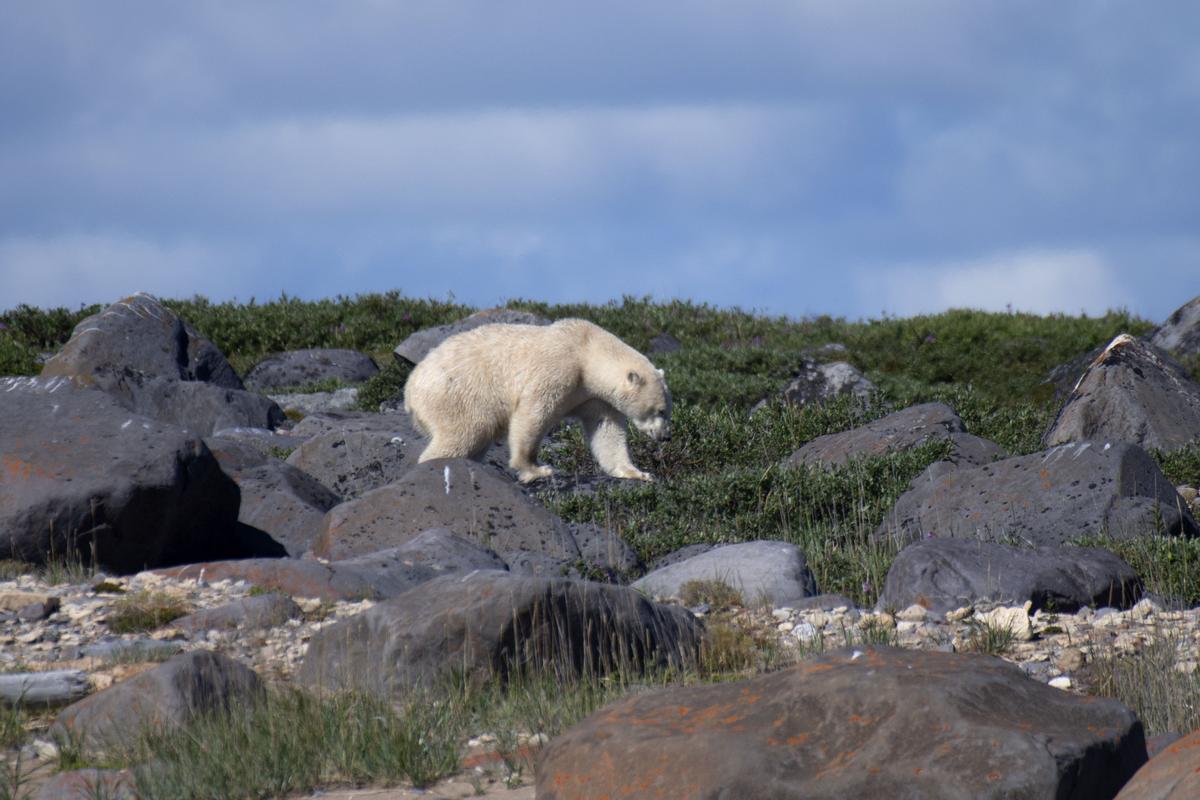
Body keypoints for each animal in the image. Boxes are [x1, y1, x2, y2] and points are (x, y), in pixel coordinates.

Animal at [405, 316, 672, 482]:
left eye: (667, 410)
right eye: (660, 410)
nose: (666, 436)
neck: (586, 350)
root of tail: (410, 390)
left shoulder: (594, 397)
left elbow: (607, 431)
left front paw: (636, 473)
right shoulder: (558, 368)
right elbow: (533, 414)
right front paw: (536, 469)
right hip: (457, 396)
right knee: (466, 432)